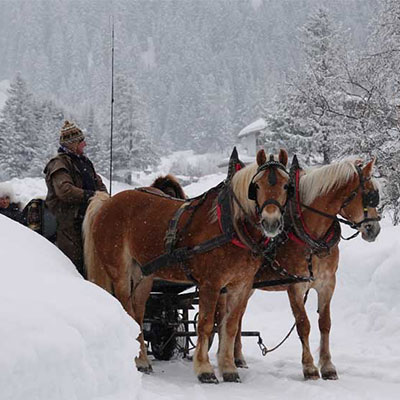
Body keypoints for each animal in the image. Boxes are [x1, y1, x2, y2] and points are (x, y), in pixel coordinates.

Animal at [84, 149, 290, 384]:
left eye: (286, 185)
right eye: (256, 186)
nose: (271, 222)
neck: (230, 225)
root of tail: (106, 203)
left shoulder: (241, 286)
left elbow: (229, 326)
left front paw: (229, 369)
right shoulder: (211, 284)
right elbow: (206, 325)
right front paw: (205, 370)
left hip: (143, 276)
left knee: (138, 314)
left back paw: (143, 360)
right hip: (120, 273)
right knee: (127, 310)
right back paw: (139, 359)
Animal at [227, 155, 380, 380]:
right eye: (370, 195)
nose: (374, 230)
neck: (311, 235)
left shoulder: (327, 284)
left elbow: (325, 323)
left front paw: (328, 366)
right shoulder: (295, 287)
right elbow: (303, 324)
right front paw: (309, 367)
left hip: (246, 286)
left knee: (237, 317)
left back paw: (237, 357)